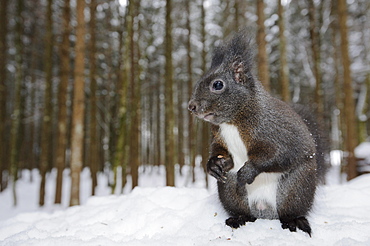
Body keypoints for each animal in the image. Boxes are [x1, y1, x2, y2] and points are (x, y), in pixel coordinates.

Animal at [188, 30, 326, 236]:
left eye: (218, 85)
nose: (191, 106)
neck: (232, 121)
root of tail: (264, 210)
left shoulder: (274, 131)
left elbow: (278, 155)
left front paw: (249, 171)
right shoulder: (219, 138)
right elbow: (220, 151)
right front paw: (214, 164)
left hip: (295, 189)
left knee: (290, 210)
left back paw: (294, 221)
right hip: (230, 190)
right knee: (244, 211)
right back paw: (238, 219)